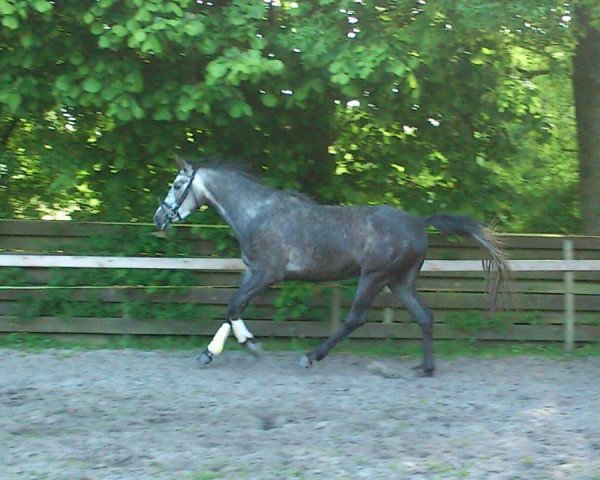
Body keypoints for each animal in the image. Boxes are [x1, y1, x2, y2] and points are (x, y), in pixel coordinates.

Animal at [152, 156, 508, 376]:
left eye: (176, 185)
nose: (158, 219)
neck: (257, 213)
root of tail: (419, 222)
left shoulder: (268, 274)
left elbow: (232, 306)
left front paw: (251, 346)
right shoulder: (252, 271)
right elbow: (232, 308)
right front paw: (209, 352)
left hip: (374, 276)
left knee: (356, 319)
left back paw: (310, 356)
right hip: (399, 281)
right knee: (424, 316)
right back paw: (426, 368)